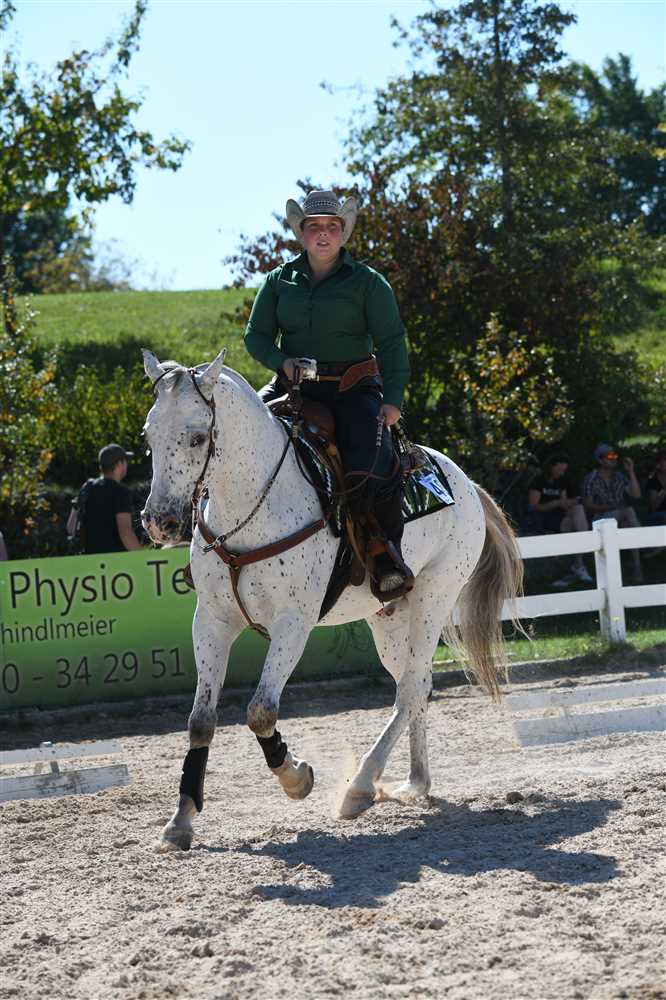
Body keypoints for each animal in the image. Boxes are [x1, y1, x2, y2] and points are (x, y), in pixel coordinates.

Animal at [141, 349, 523, 851]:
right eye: (149, 435)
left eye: (197, 436)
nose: (159, 521)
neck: (250, 509)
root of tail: (464, 482)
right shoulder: (212, 621)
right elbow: (201, 720)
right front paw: (181, 820)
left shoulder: (292, 623)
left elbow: (260, 712)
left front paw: (296, 778)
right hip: (389, 618)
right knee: (416, 686)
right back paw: (415, 781)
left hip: (434, 599)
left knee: (410, 688)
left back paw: (360, 786)